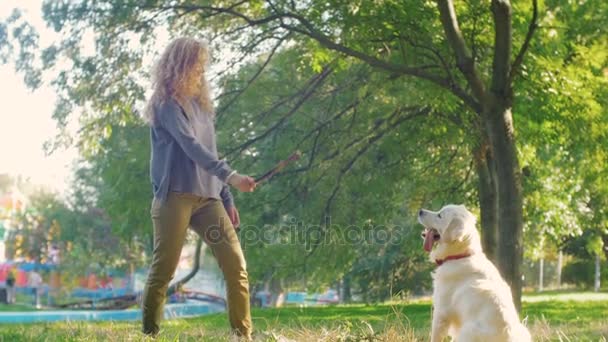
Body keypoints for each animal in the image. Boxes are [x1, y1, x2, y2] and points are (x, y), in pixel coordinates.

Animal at [420, 204, 528, 342]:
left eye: (440, 215)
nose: (420, 211)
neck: (460, 256)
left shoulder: (441, 311)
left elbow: (434, 336)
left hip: (467, 330)